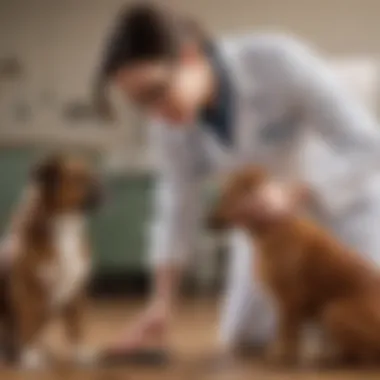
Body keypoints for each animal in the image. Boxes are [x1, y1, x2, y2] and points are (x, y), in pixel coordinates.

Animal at [0, 152, 101, 368]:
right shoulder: (27, 292)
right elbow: (27, 325)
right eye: (79, 179)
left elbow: (77, 327)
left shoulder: (76, 293)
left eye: (93, 175)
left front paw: (80, 352)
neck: (65, 224)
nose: (103, 186)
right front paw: (29, 356)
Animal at [208, 166, 380, 366]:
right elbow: (289, 334)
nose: (206, 221)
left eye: (226, 196)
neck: (270, 228)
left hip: (333, 312)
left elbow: (287, 333)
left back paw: (328, 357)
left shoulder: (290, 300)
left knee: (363, 355)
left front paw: (281, 356)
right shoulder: (287, 303)